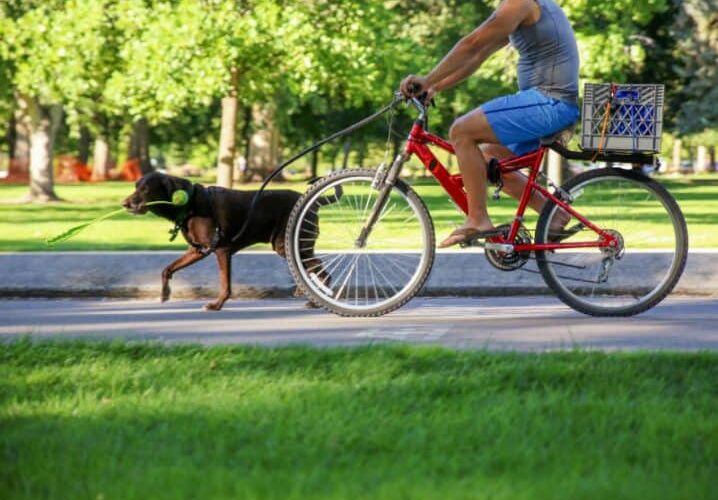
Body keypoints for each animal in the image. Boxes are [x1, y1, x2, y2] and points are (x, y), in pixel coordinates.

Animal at [124, 174, 332, 310]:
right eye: (135, 186)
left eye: (146, 190)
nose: (124, 204)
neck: (189, 203)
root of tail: (315, 201)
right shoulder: (197, 251)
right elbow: (167, 269)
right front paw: (164, 293)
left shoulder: (222, 250)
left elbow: (225, 283)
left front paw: (217, 304)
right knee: (313, 267)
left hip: (288, 244)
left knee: (319, 268)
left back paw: (316, 298)